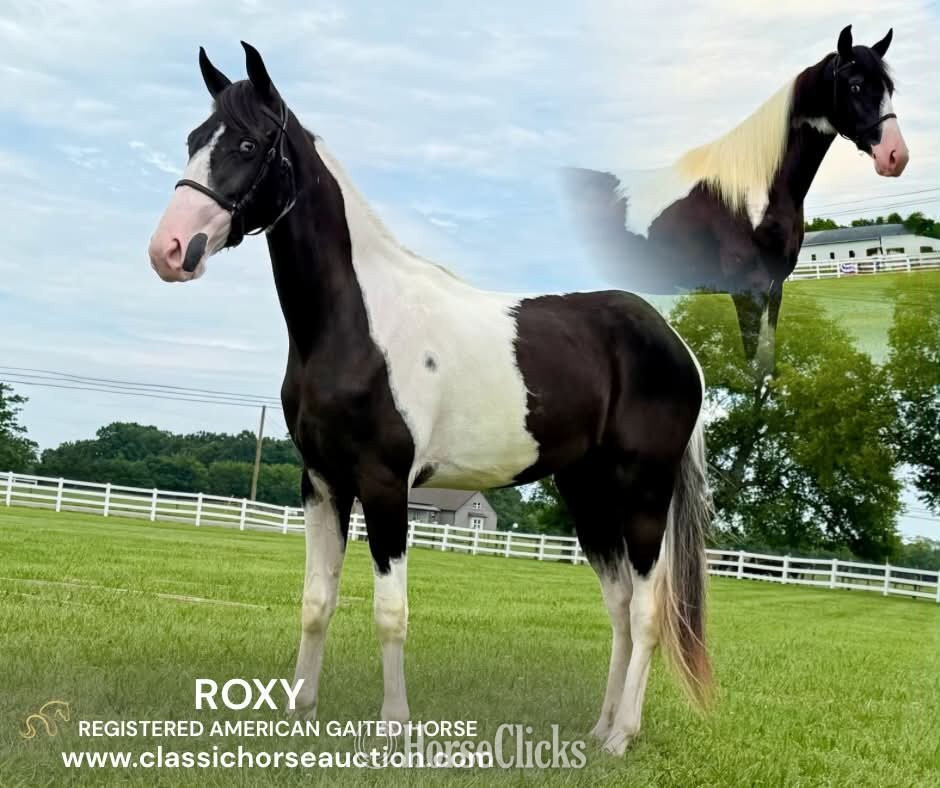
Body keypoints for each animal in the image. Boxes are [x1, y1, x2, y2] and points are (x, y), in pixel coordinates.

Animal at [147, 42, 713, 756]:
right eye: (195, 140)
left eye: (248, 144)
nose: (169, 250)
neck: (356, 321)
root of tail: (675, 344)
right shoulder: (322, 483)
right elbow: (316, 600)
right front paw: (299, 709)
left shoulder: (385, 484)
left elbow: (390, 611)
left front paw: (394, 725)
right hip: (586, 492)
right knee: (615, 605)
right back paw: (599, 727)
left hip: (641, 494)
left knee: (644, 609)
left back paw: (622, 737)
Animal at [562, 25, 908, 378]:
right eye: (855, 85)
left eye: (889, 88)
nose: (896, 156)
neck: (755, 192)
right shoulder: (748, 292)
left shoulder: (775, 288)